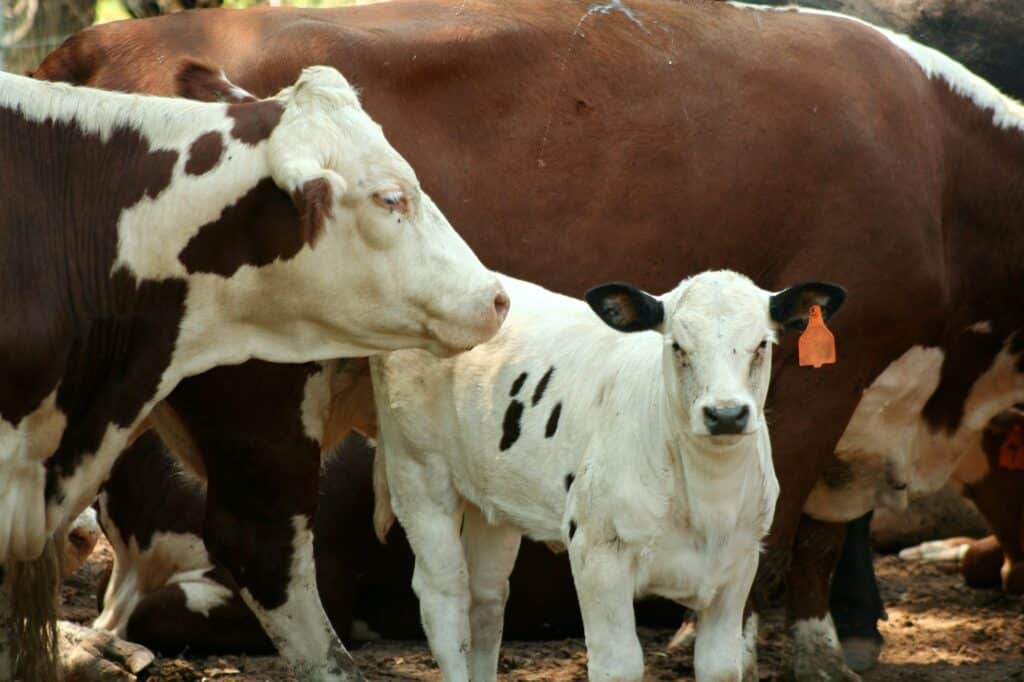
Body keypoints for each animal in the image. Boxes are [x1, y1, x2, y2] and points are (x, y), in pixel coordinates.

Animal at [372, 270, 843, 679]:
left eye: (762, 344)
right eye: (677, 346)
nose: (725, 414)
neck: (708, 496)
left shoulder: (739, 562)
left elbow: (720, 665)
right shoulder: (597, 551)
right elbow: (619, 665)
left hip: (493, 500)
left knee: (486, 601)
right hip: (418, 472)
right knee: (444, 599)